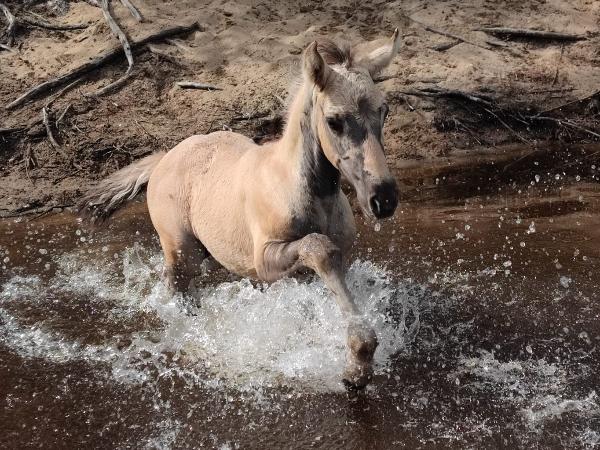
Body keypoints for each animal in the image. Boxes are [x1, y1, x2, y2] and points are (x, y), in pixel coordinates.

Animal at [79, 30, 401, 390]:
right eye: (334, 121)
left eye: (384, 111)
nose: (383, 198)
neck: (301, 191)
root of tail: (163, 158)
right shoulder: (266, 259)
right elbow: (319, 248)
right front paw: (358, 358)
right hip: (181, 250)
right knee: (177, 287)